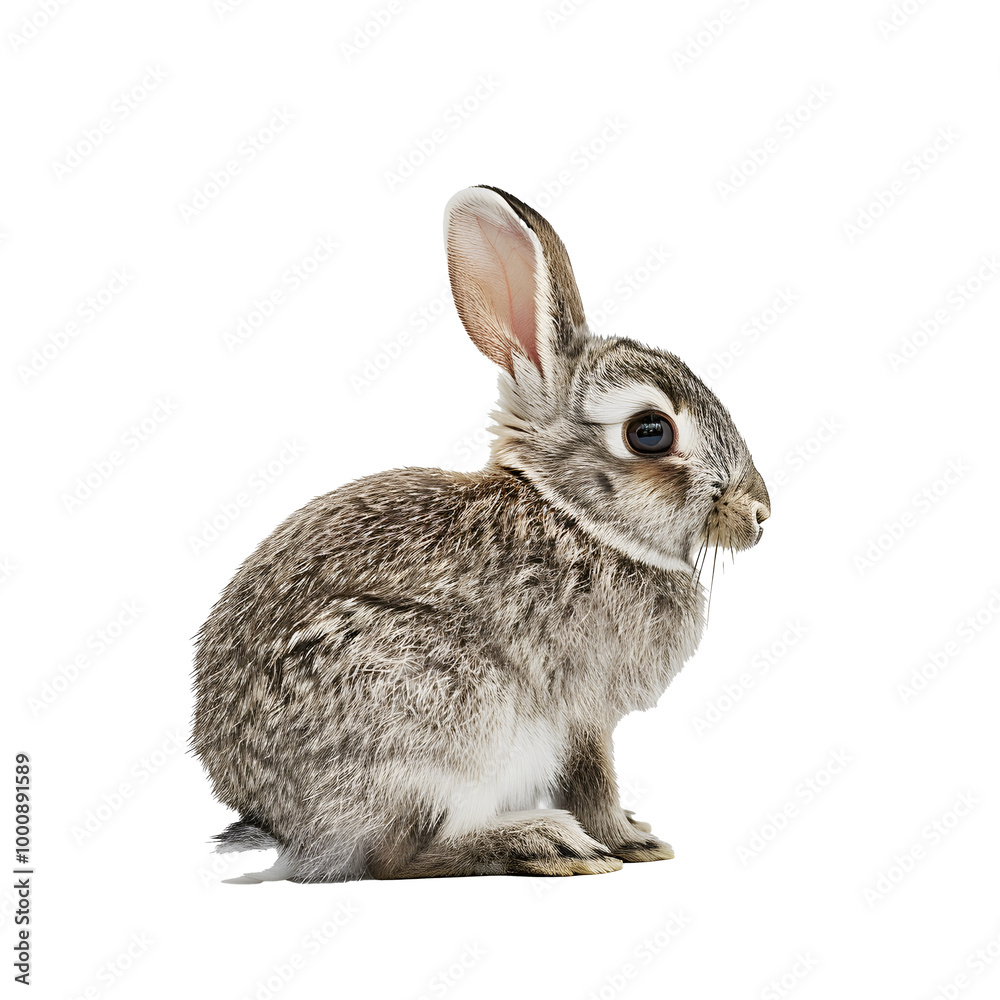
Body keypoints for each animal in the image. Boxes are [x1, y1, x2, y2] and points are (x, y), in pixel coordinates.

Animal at [192, 185, 770, 883]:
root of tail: (280, 822)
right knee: (392, 859)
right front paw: (629, 843)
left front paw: (633, 831)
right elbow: (593, 779)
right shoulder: (584, 712)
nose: (760, 511)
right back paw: (543, 842)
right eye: (651, 432)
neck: (577, 515)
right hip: (443, 719)